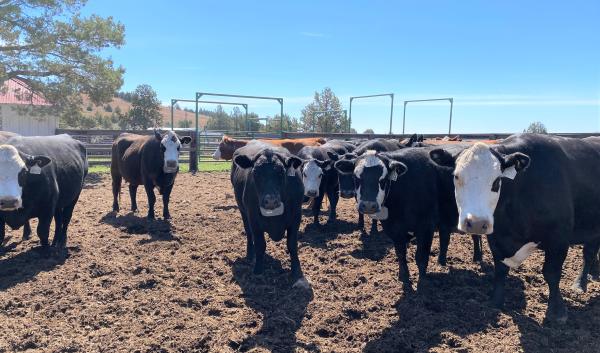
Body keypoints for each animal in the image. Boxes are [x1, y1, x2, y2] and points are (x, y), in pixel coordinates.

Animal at [231, 140, 310, 288]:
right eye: (256, 172)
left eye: (281, 172)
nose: (270, 201)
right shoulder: (253, 218)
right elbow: (260, 244)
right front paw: (258, 270)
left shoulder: (296, 216)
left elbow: (292, 244)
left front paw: (297, 272)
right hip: (242, 211)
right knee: (249, 234)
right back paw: (250, 255)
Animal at [432, 133, 600, 322]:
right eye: (456, 176)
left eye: (497, 180)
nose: (475, 223)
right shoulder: (497, 237)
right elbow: (501, 269)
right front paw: (496, 301)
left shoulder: (559, 238)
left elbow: (551, 273)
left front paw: (556, 312)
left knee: (588, 254)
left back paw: (579, 283)